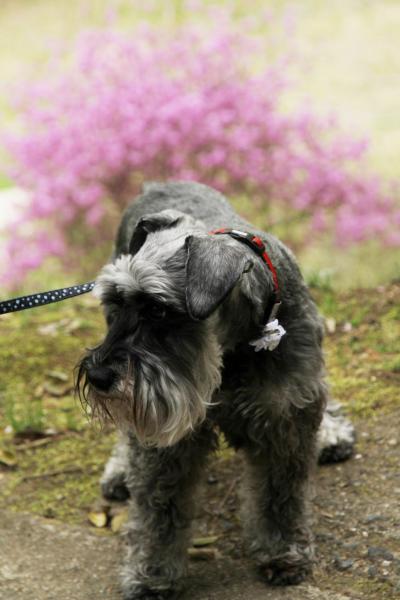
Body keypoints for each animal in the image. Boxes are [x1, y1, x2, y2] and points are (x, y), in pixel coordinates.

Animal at [76, 182, 354, 600]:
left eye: (158, 310)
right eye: (116, 301)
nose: (97, 375)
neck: (235, 349)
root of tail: (156, 184)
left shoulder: (285, 416)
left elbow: (281, 496)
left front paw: (284, 552)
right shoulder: (170, 441)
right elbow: (159, 512)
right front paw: (151, 575)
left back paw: (333, 434)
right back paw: (120, 471)